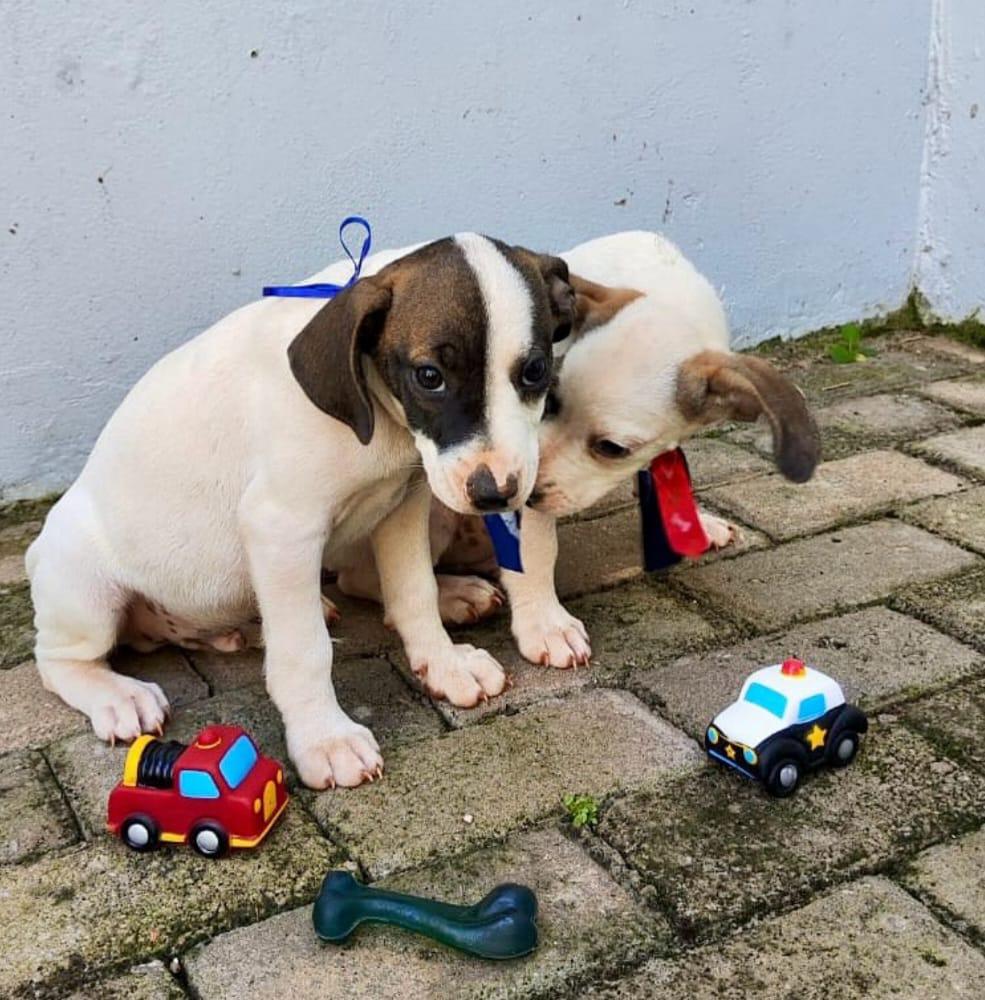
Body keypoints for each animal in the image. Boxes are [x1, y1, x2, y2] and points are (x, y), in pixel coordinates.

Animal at [26, 234, 572, 788]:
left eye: (534, 371)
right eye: (429, 376)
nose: (495, 494)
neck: (373, 411)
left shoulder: (404, 504)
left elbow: (413, 592)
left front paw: (442, 664)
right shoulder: (282, 529)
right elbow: (305, 649)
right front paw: (325, 738)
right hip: (86, 591)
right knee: (57, 660)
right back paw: (117, 696)